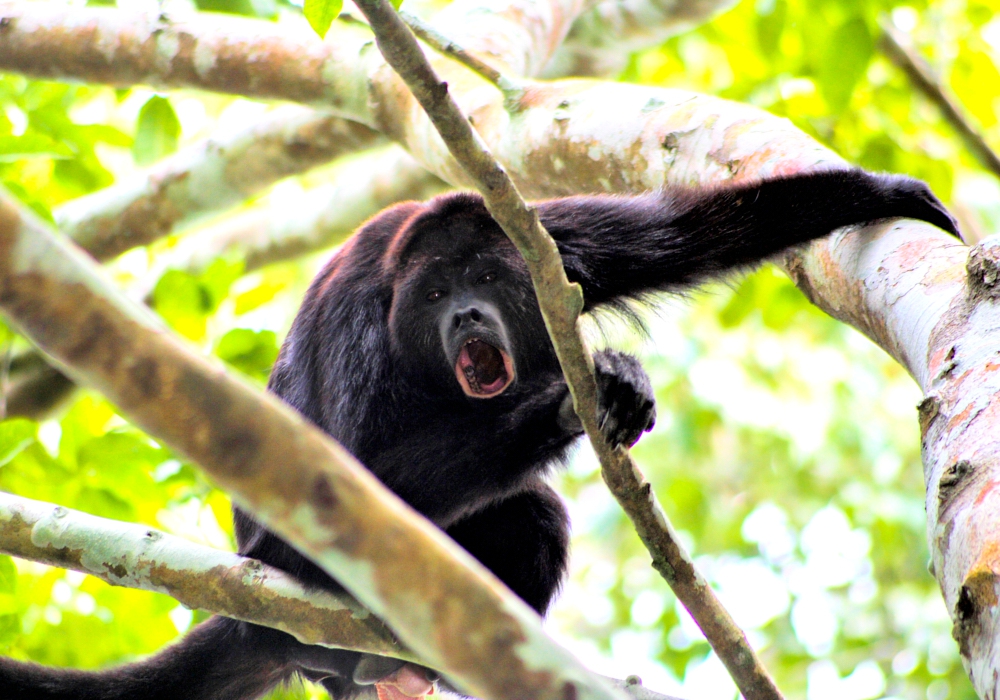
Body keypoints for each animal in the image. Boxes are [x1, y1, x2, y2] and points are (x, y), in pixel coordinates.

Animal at [3, 170, 964, 700]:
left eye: (490, 278)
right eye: (435, 293)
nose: (467, 313)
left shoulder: (552, 241)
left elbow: (689, 230)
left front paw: (882, 194)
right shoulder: (360, 318)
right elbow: (342, 483)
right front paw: (578, 398)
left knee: (536, 519)